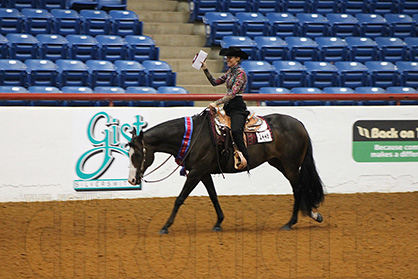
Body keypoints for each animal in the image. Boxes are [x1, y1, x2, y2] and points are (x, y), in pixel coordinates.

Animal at [129, 110, 324, 235]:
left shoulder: (195, 173)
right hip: (279, 163)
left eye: (137, 154)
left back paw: (291, 223)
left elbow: (180, 199)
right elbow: (213, 196)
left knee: (298, 188)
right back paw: (313, 215)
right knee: (299, 187)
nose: (132, 180)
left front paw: (166, 226)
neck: (193, 136)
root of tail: (299, 124)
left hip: (290, 165)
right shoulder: (203, 173)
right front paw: (218, 222)